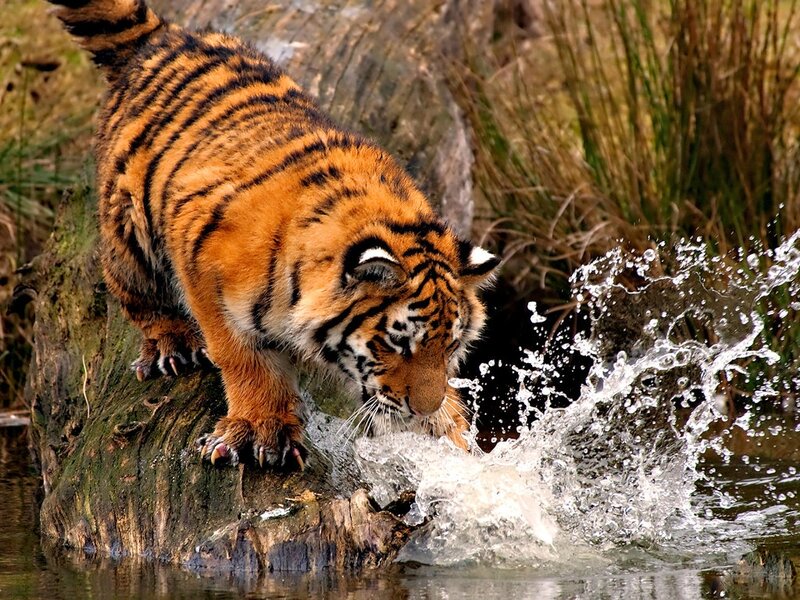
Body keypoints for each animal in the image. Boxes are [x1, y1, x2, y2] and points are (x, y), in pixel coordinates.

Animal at [49, 0, 499, 469]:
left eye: (450, 346)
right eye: (397, 343)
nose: (423, 408)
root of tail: (166, 34)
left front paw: (455, 438)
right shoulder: (205, 269)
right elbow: (245, 359)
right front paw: (260, 429)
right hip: (129, 230)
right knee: (135, 290)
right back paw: (171, 346)